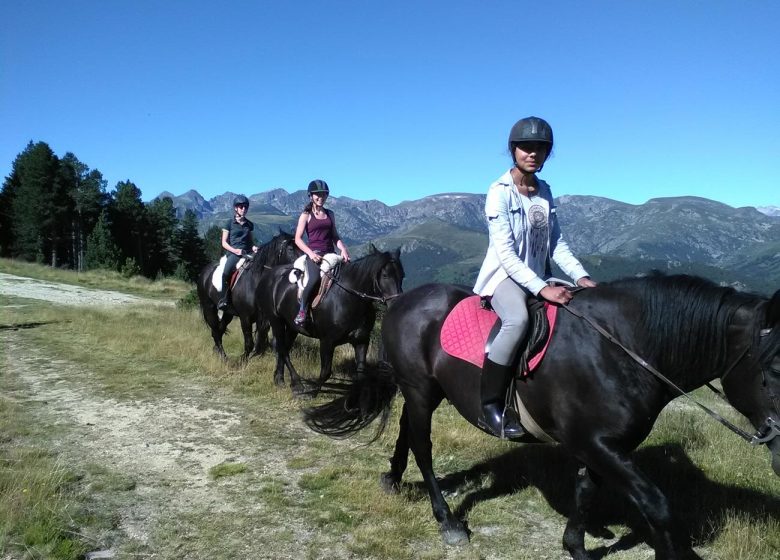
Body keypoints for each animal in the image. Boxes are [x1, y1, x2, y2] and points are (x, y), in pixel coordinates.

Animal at [256, 247, 406, 396]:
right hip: (276, 321)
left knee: (283, 347)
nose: (397, 303)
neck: (348, 299)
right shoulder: (327, 341)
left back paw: (279, 379)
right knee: (282, 348)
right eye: (385, 275)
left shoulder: (361, 340)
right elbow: (326, 372)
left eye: (402, 276)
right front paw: (312, 393)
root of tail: (269, 275)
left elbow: (361, 372)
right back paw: (297, 382)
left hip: (292, 327)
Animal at [304, 276, 780, 560]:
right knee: (422, 445)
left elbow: (586, 491)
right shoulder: (599, 444)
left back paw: (393, 478)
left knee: (406, 430)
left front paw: (577, 547)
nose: (777, 448)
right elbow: (656, 505)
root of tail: (403, 299)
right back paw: (448, 521)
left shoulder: (601, 444)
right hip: (420, 389)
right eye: (773, 368)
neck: (624, 347)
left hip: (425, 391)